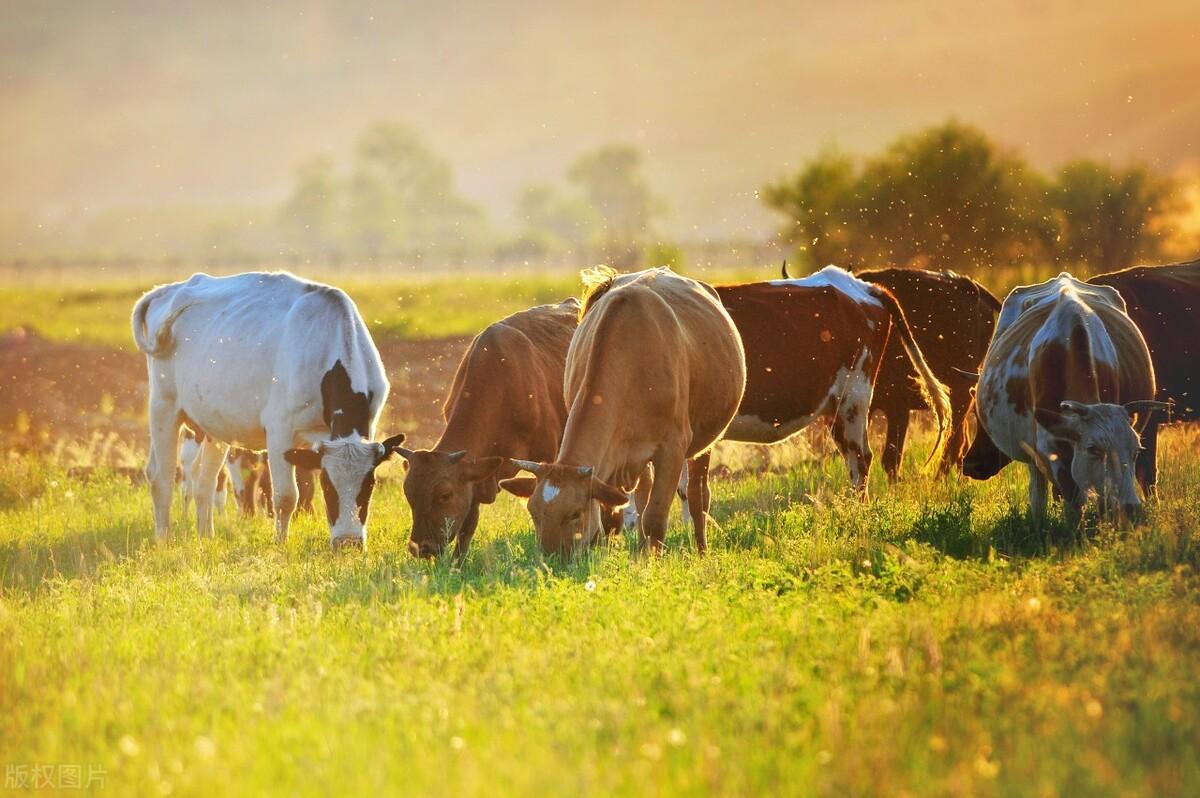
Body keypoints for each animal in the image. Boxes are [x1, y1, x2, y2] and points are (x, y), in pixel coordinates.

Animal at [129, 271, 405, 544]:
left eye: (369, 484)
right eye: (328, 484)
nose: (349, 542)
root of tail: (169, 288)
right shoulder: (279, 430)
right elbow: (286, 496)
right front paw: (280, 545)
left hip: (214, 426)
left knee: (204, 481)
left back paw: (206, 538)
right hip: (164, 405)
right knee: (161, 477)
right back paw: (164, 540)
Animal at [396, 295, 578, 556]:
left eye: (445, 495)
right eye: (408, 493)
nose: (422, 547)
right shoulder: (476, 477)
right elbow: (468, 525)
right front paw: (458, 562)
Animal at [496, 267, 739, 554]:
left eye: (575, 513)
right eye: (534, 512)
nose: (550, 558)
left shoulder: (673, 448)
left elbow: (655, 518)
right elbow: (611, 518)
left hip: (705, 442)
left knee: (697, 494)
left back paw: (700, 549)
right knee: (644, 493)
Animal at [974, 271, 1161, 525]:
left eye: (1136, 451)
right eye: (1093, 449)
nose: (1131, 509)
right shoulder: (1049, 446)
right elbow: (1072, 498)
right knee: (1038, 488)